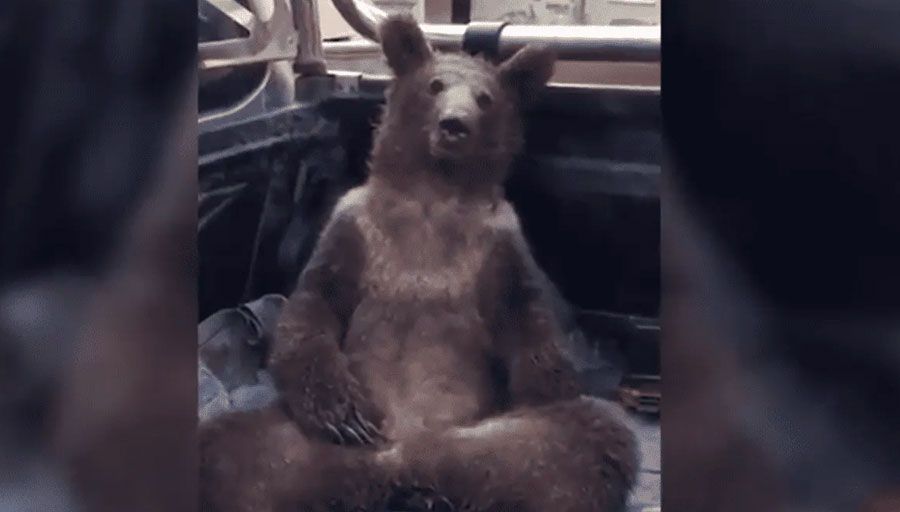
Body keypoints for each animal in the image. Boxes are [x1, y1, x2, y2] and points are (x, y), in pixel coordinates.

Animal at [199, 14, 638, 512]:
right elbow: (314, 309)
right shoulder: (355, 229)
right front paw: (344, 413)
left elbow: (527, 320)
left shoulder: (497, 245)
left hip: (502, 444)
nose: (454, 125)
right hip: (288, 448)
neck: (433, 194)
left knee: (587, 440)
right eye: (435, 85)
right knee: (228, 453)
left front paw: (544, 387)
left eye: (485, 97)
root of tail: (402, 465)